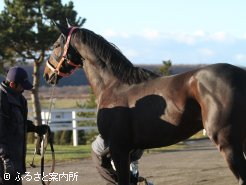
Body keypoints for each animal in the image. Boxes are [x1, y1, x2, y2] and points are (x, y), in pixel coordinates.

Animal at [42, 23, 246, 185]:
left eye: (56, 45)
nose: (47, 73)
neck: (113, 85)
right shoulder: (122, 148)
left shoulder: (119, 147)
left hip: (227, 143)